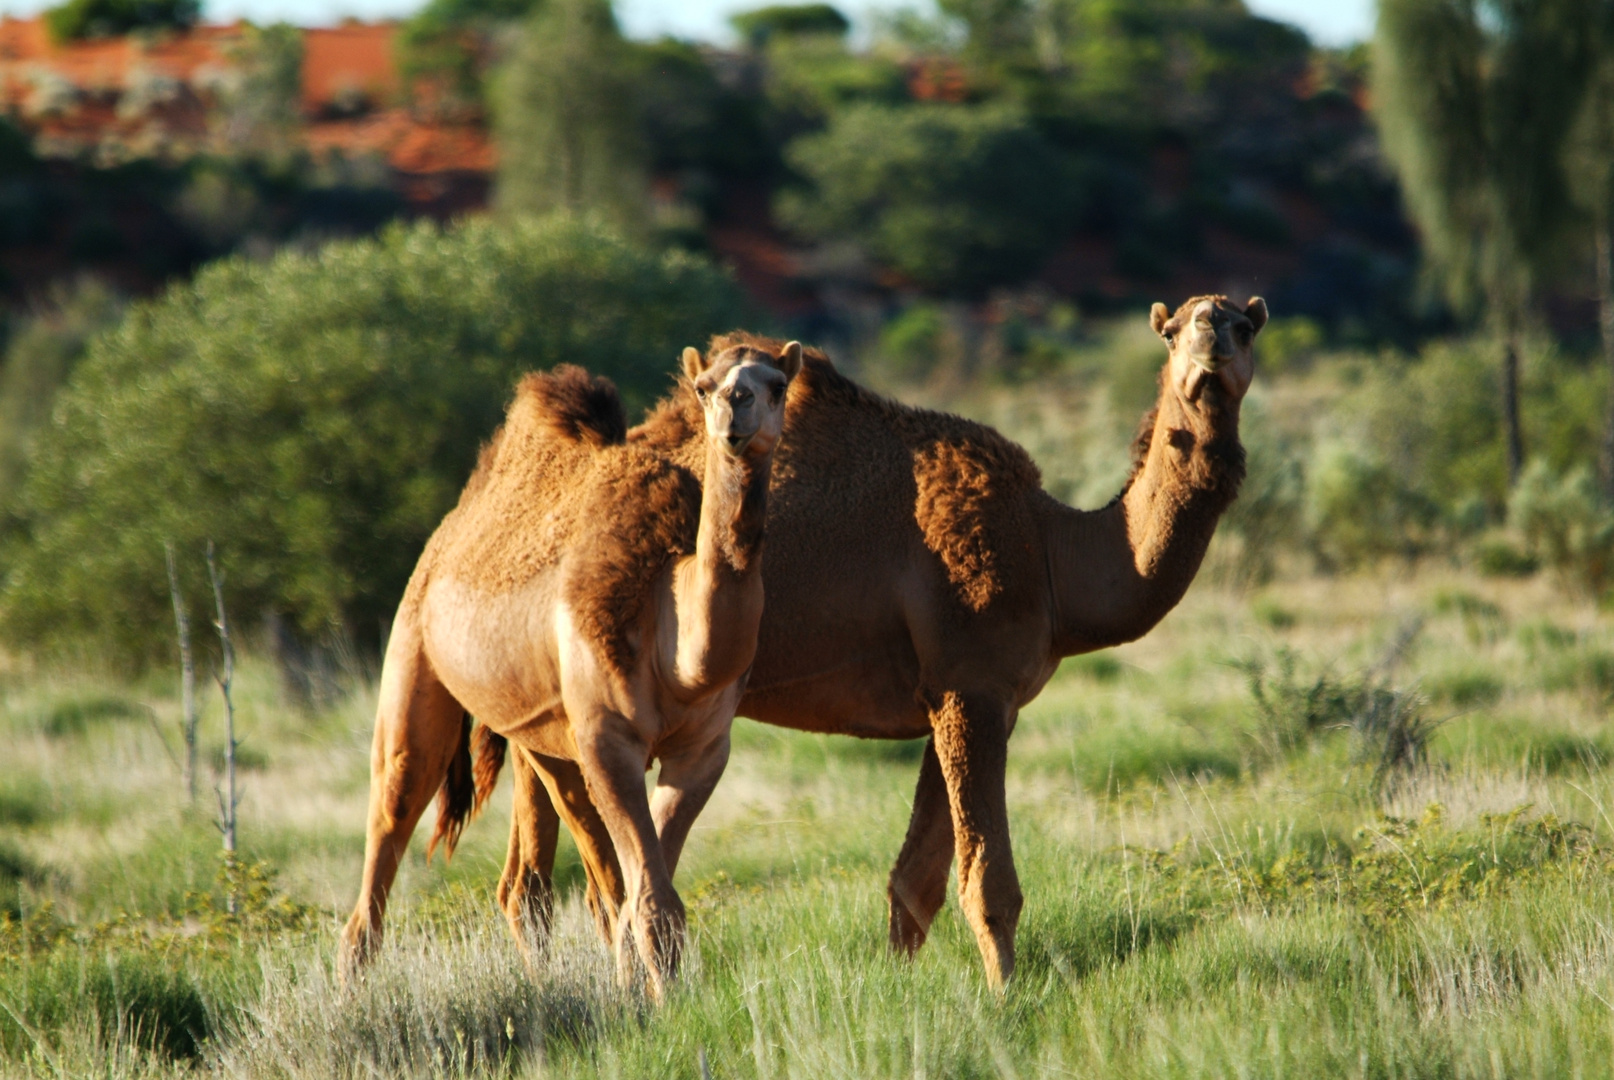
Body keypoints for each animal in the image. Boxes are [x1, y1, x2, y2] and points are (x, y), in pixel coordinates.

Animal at [337, 337, 803, 994]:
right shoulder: (608, 736)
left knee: (536, 881)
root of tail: (448, 531)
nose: (736, 408)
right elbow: (651, 900)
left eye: (776, 385)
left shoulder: (704, 747)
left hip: (539, 734)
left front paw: (645, 992)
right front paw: (660, 1003)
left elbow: (649, 893)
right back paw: (353, 987)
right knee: (393, 808)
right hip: (412, 656)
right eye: (704, 387)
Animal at [474, 292, 1258, 987]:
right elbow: (988, 880)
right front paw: (1007, 999)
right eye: (1173, 330)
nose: (1210, 341)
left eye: (1245, 324)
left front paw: (904, 990)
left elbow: (916, 881)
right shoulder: (972, 684)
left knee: (528, 877)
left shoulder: (966, 697)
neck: (1052, 550)